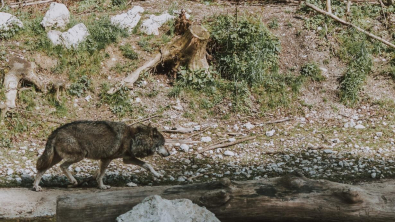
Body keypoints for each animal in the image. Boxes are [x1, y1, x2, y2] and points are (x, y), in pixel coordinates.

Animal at [32, 120, 170, 192]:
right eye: (163, 144)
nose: (169, 154)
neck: (134, 138)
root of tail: (55, 131)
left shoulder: (127, 159)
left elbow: (147, 165)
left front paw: (157, 175)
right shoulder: (106, 158)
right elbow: (101, 175)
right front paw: (102, 186)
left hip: (55, 158)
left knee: (41, 170)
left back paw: (36, 187)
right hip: (79, 155)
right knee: (63, 166)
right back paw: (73, 181)